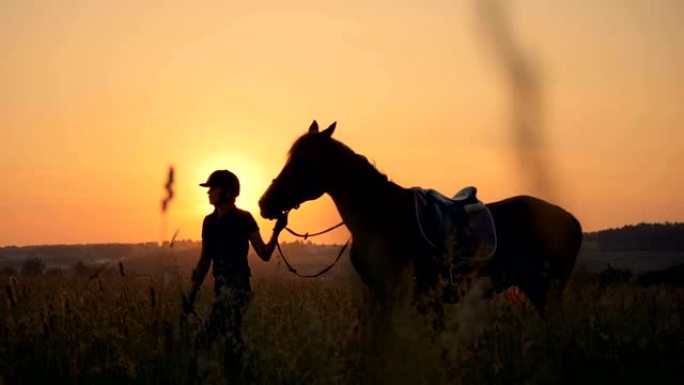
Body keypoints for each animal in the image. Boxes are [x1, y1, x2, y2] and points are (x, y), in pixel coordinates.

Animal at [260, 121, 580, 318]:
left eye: (303, 162)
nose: (265, 203)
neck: (380, 214)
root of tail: (571, 220)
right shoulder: (379, 294)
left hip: (545, 292)